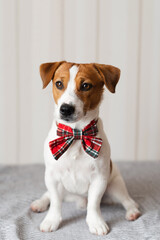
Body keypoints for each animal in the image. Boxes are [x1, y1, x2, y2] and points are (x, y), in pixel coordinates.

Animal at [30, 61, 141, 235]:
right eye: (59, 84)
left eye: (85, 86)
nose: (65, 109)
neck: (76, 134)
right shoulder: (52, 177)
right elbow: (55, 202)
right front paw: (51, 220)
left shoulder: (99, 179)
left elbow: (94, 204)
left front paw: (96, 222)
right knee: (48, 195)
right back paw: (40, 203)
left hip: (115, 186)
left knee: (128, 201)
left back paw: (132, 212)